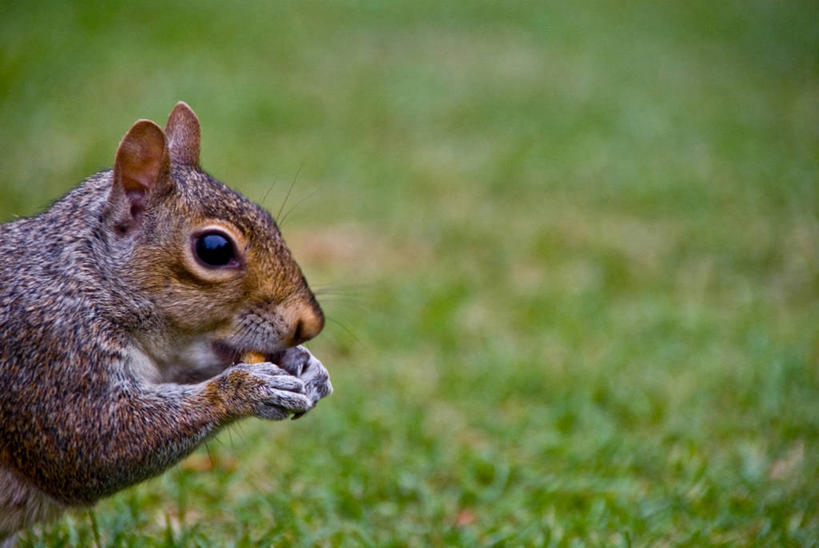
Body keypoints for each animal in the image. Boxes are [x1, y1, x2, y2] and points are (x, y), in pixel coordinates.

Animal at [0, 101, 334, 540]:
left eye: (269, 219)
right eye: (214, 248)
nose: (310, 323)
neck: (88, 279)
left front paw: (304, 363)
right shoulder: (50, 350)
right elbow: (93, 445)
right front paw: (246, 389)